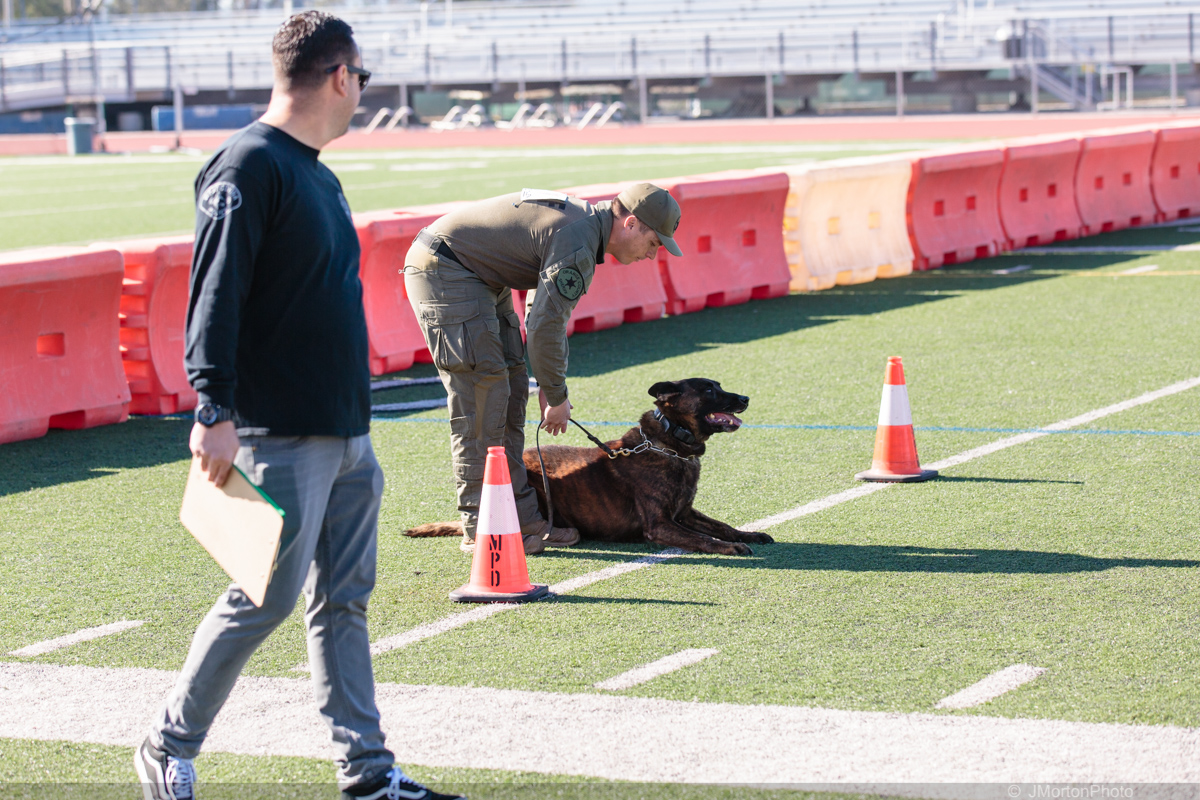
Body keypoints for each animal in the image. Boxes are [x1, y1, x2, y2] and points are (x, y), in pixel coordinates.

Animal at [405, 378, 773, 556]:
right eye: (709, 389)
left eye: (719, 385)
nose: (745, 399)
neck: (670, 442)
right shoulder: (661, 525)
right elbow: (703, 538)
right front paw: (730, 547)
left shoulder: (684, 513)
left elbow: (721, 525)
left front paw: (747, 534)